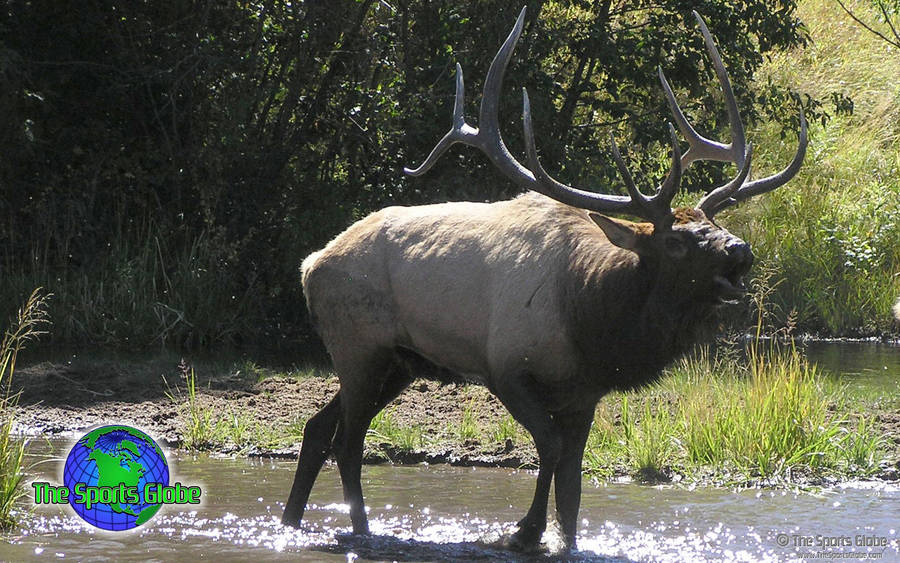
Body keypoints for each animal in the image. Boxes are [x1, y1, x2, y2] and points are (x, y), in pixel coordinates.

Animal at [281, 7, 807, 552]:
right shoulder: (505, 367)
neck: (593, 321)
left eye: (714, 223)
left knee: (317, 428)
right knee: (347, 440)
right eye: (676, 241)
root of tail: (310, 265)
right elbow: (550, 449)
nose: (740, 250)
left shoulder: (584, 392)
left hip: (396, 363)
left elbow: (573, 481)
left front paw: (564, 538)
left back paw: (293, 521)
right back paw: (361, 530)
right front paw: (523, 531)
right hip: (360, 348)